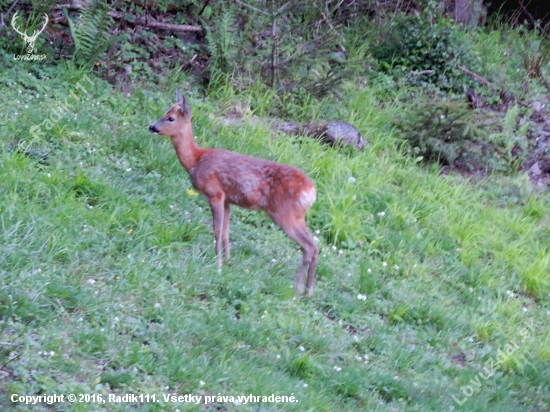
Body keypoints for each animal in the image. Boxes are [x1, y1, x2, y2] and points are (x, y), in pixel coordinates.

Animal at [149, 91, 322, 294]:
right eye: (164, 112)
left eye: (170, 118)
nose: (152, 127)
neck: (196, 159)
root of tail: (312, 192)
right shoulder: (228, 199)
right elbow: (226, 230)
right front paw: (228, 261)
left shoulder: (215, 193)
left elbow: (216, 229)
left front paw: (217, 265)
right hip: (297, 216)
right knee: (314, 246)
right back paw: (309, 291)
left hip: (283, 213)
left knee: (308, 246)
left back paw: (298, 289)